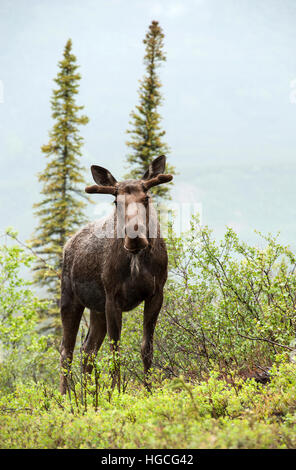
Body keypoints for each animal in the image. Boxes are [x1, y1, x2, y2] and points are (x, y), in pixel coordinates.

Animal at [59, 154, 172, 392]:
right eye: (116, 202)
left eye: (146, 198)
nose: (135, 237)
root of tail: (67, 245)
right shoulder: (112, 297)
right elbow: (115, 351)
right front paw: (116, 392)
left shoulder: (156, 293)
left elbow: (146, 347)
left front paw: (149, 390)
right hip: (70, 299)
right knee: (67, 351)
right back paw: (64, 397)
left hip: (96, 309)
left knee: (88, 350)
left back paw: (87, 395)